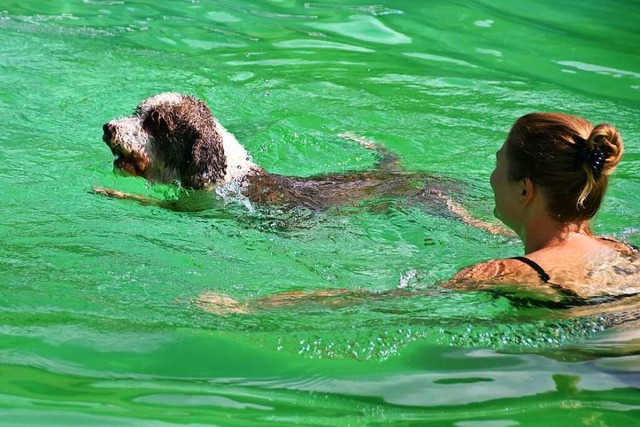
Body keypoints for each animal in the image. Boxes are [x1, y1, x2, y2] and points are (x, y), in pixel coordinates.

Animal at [96, 92, 490, 227]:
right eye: (139, 111)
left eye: (156, 122)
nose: (108, 127)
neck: (226, 174)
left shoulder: (199, 207)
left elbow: (150, 202)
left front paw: (107, 192)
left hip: (434, 202)